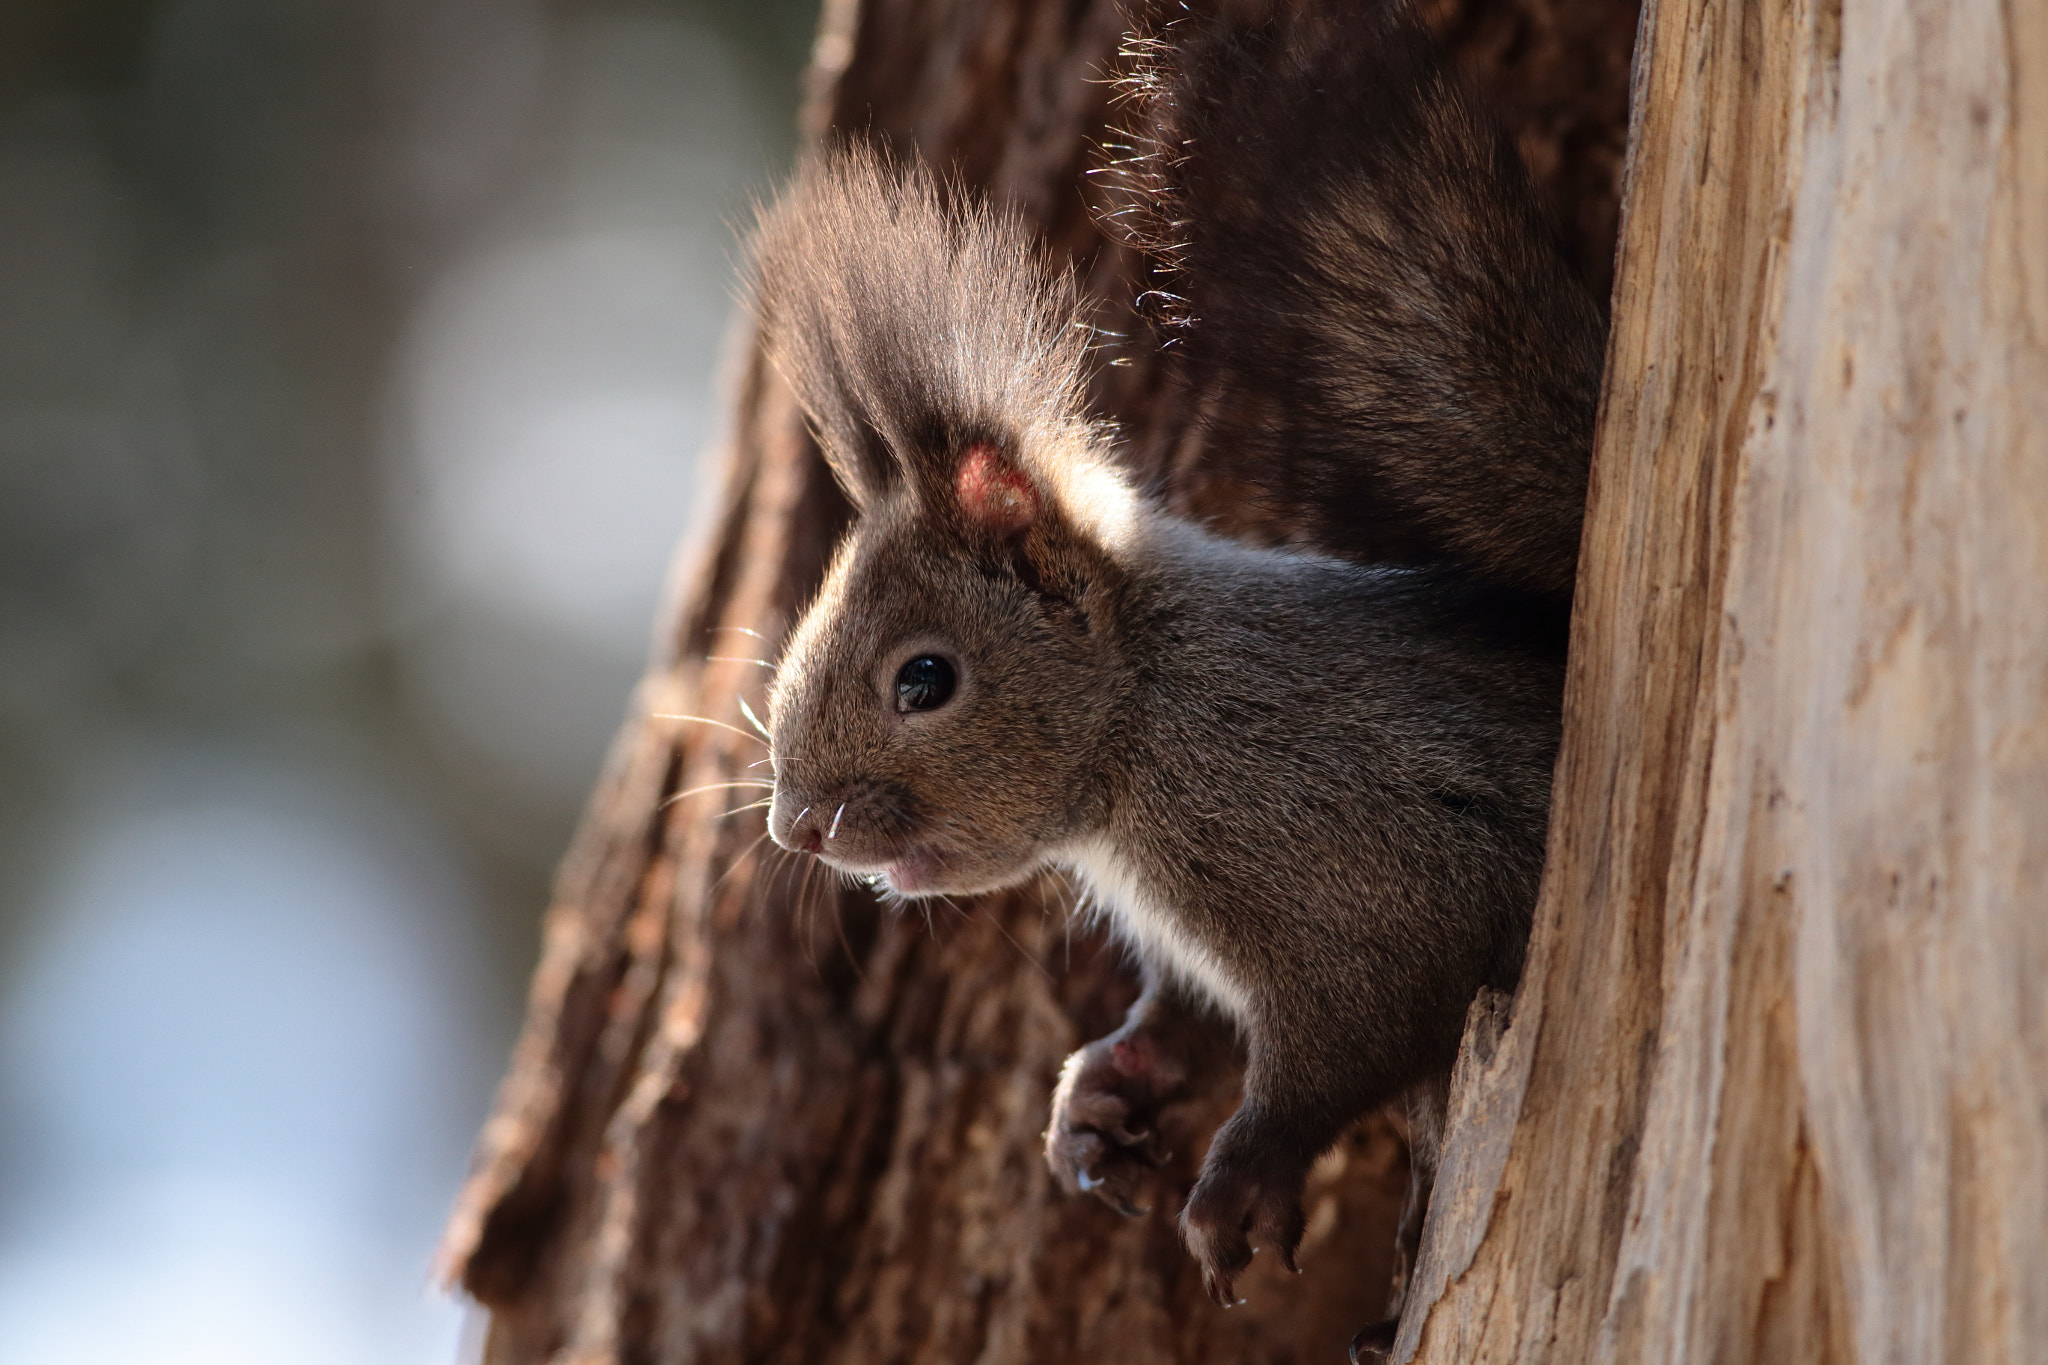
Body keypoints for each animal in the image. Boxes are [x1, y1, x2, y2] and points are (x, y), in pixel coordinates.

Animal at [745, 0, 1605, 1317]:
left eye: (924, 680)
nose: (796, 829)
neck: (1142, 717)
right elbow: (1187, 1015)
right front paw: (1098, 1094)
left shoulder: (1353, 852)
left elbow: (1354, 1025)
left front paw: (1240, 1179)